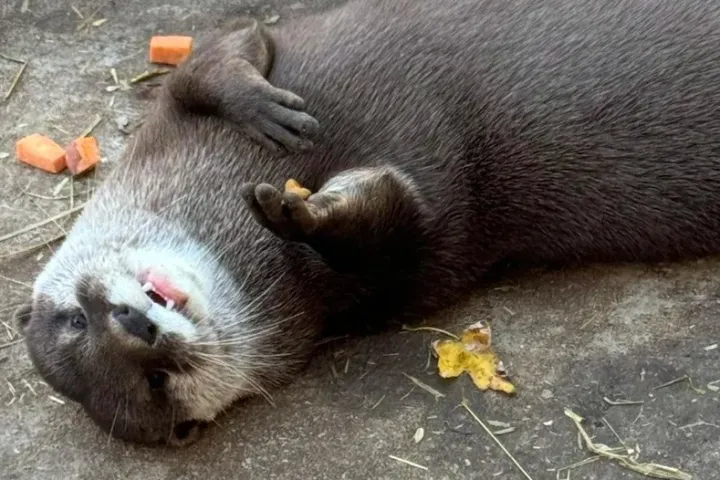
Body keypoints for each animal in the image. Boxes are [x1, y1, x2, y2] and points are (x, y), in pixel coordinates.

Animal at [16, 0, 720, 446]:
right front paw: (305, 214)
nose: (138, 327)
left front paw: (261, 110)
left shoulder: (171, 112)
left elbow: (217, 56)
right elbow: (403, 229)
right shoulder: (396, 286)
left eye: (76, 318)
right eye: (157, 385)